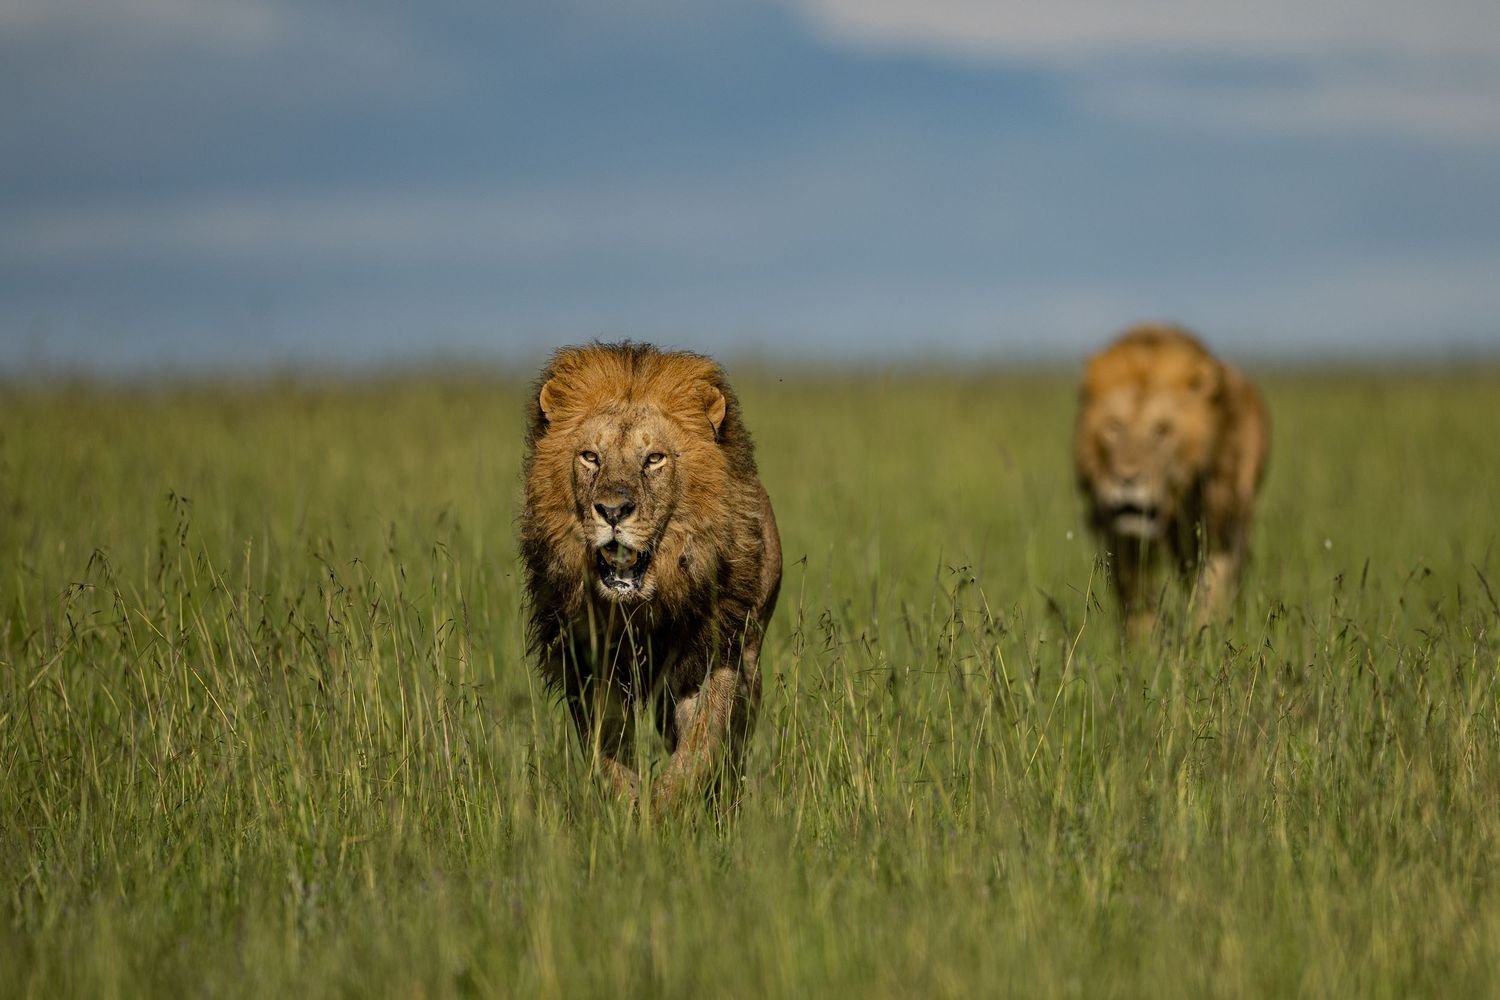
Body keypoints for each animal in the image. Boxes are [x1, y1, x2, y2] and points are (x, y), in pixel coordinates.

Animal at [520, 342, 782, 811]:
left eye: (654, 459)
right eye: (591, 457)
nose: (612, 511)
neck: (640, 608)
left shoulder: (714, 657)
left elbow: (701, 747)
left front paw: (668, 807)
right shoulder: (587, 666)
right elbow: (605, 753)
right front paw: (630, 808)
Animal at [1075, 324, 1269, 639]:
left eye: (1162, 430)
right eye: (1114, 427)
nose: (1126, 478)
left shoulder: (1217, 530)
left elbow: (1212, 592)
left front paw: (1206, 638)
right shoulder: (1124, 541)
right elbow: (1137, 601)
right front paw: (1145, 646)